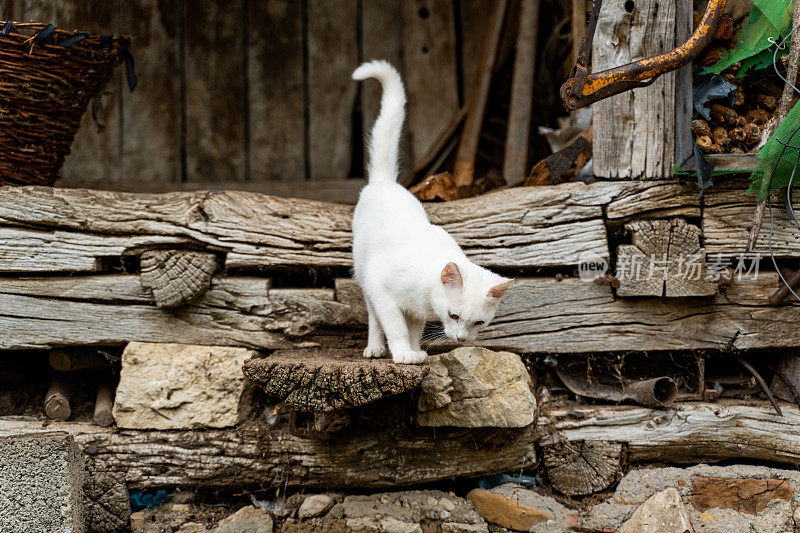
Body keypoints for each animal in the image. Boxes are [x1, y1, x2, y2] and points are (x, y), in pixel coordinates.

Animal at [352, 60, 512, 364]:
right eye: (454, 315)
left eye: (479, 322)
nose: (461, 339)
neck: (425, 294)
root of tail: (385, 182)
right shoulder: (381, 286)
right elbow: (395, 326)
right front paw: (403, 353)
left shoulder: (417, 312)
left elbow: (414, 330)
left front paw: (415, 351)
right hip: (363, 272)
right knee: (373, 316)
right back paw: (375, 348)